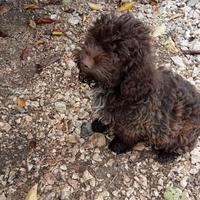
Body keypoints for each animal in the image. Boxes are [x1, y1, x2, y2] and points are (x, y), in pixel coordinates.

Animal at [74, 13, 200, 159]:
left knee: (181, 146)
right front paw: (100, 124)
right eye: (95, 38)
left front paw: (119, 144)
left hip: (180, 135)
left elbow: (127, 134)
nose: (85, 63)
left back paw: (165, 155)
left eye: (117, 54)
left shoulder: (136, 121)